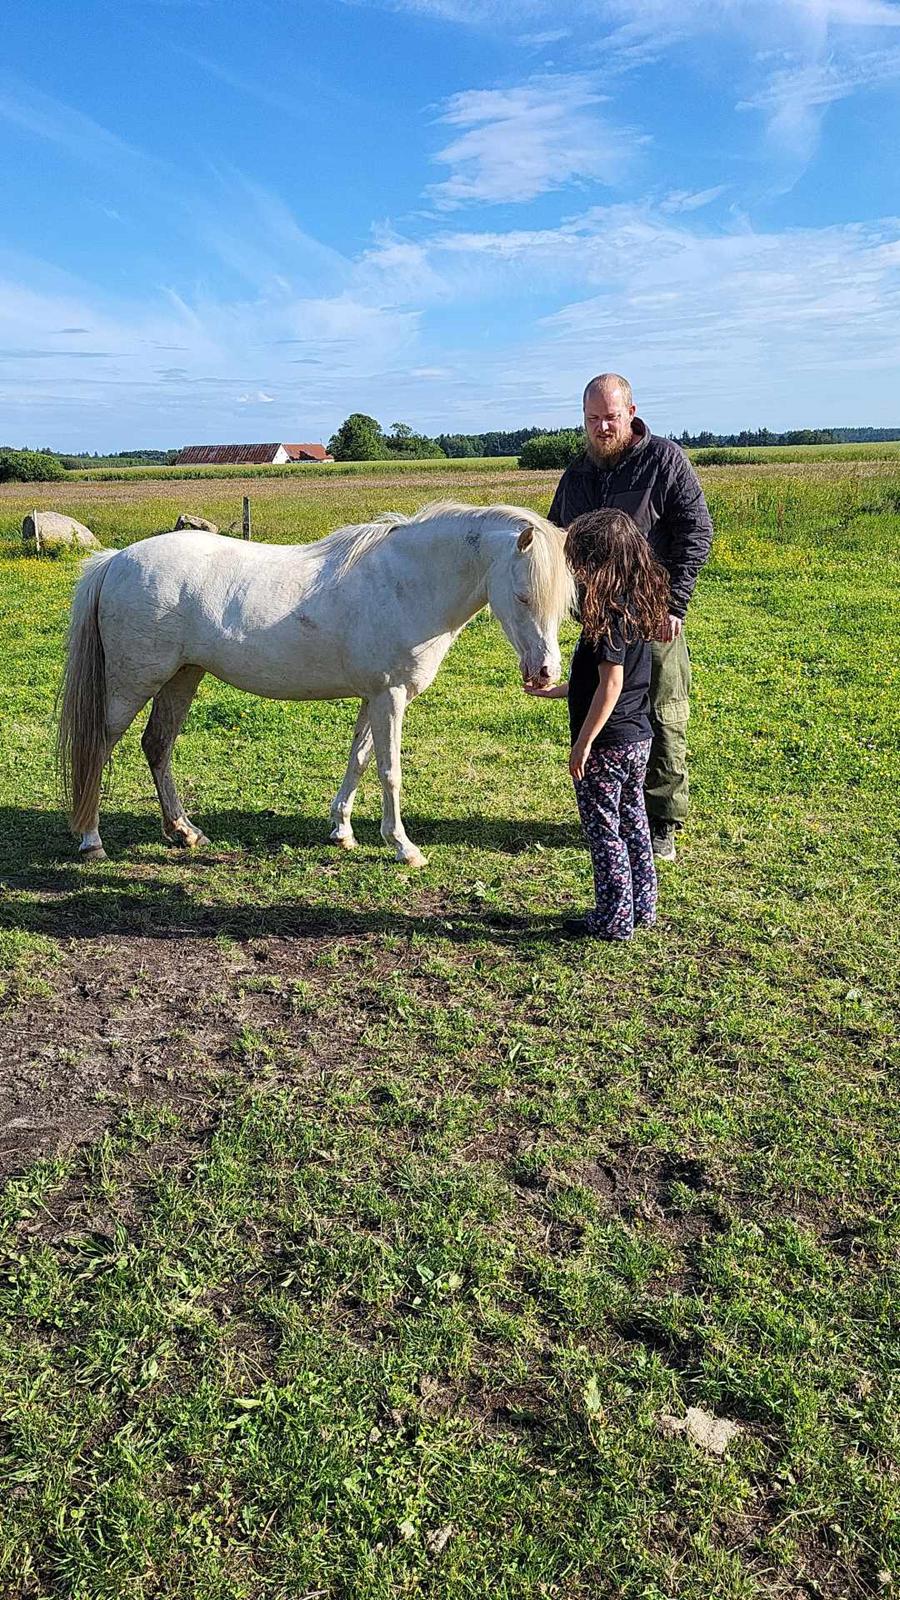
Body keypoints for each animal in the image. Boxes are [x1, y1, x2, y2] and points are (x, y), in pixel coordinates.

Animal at [57, 502, 573, 870]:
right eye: (523, 596)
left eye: (565, 599)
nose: (545, 674)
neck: (407, 582)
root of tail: (115, 561)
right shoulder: (390, 697)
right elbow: (389, 770)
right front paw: (403, 846)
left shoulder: (373, 696)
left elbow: (359, 760)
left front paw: (342, 831)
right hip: (132, 683)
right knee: (98, 748)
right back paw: (92, 841)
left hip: (182, 677)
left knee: (157, 745)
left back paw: (186, 832)